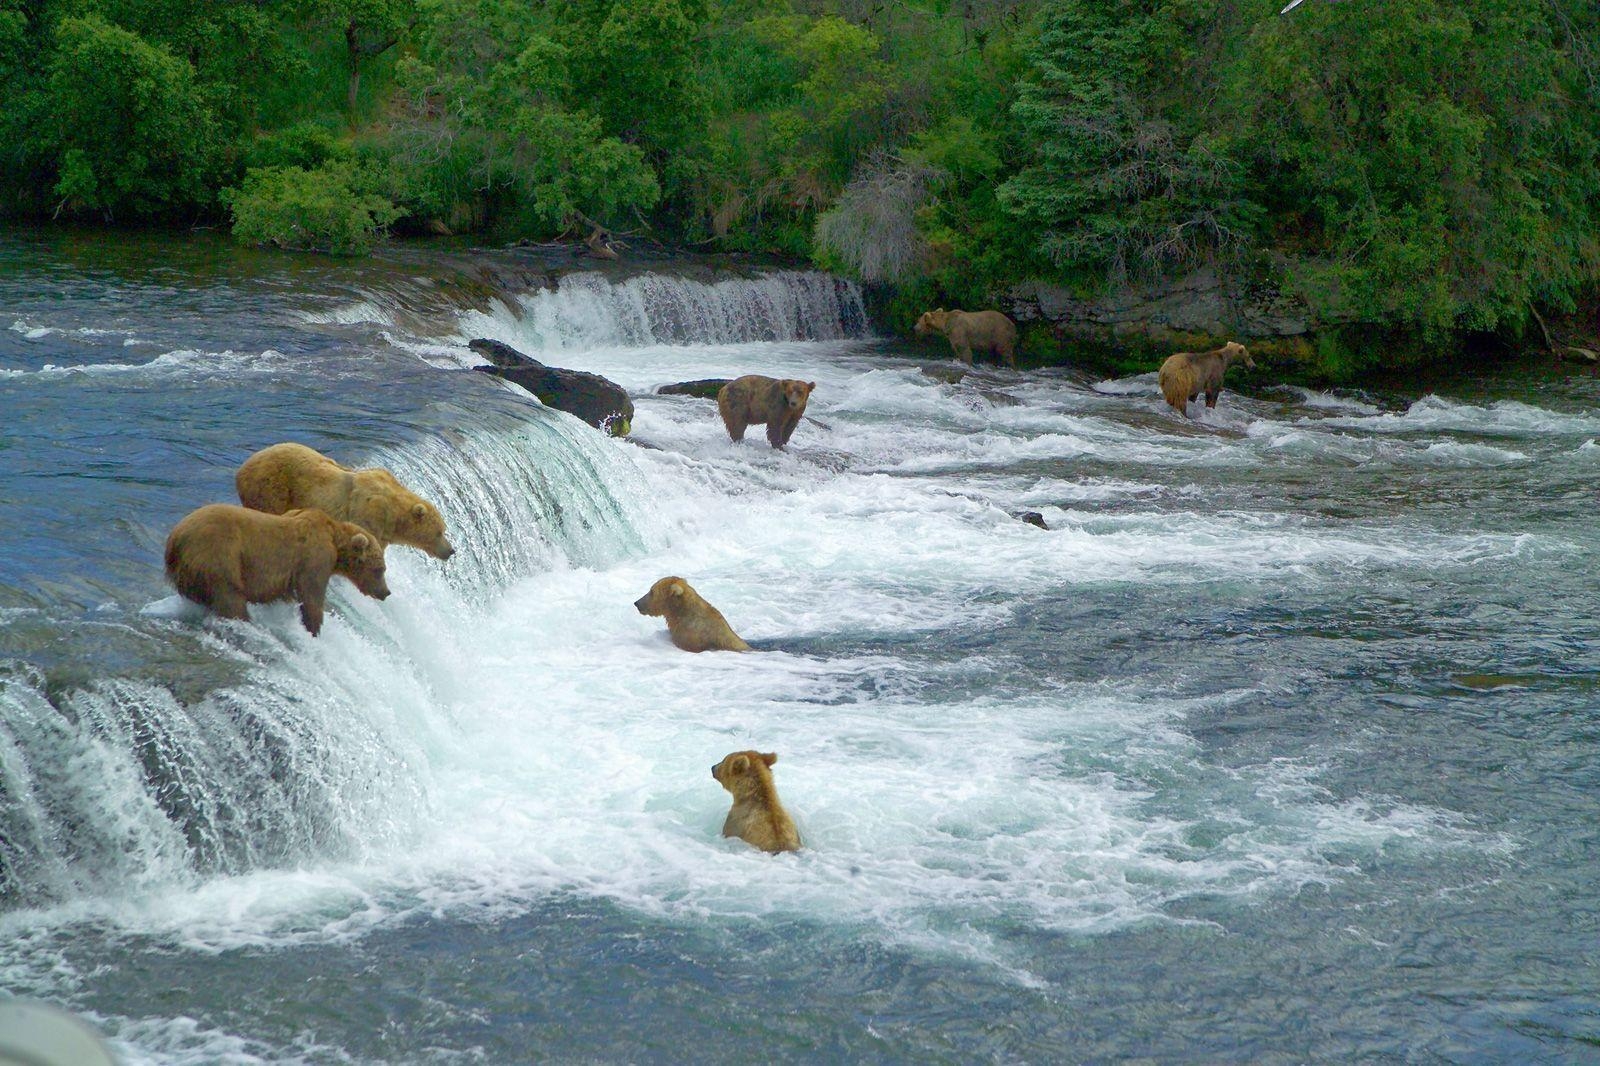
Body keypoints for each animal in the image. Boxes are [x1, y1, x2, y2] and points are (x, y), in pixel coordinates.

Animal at [162, 502, 390, 633]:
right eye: (380, 569)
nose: (386, 592)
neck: (335, 540)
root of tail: (175, 538)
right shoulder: (314, 558)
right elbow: (312, 595)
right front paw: (313, 626)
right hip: (219, 556)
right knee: (230, 597)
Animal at [233, 438, 457, 557]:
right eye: (439, 532)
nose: (451, 551)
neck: (394, 517)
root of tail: (243, 466)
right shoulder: (370, 515)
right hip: (270, 487)